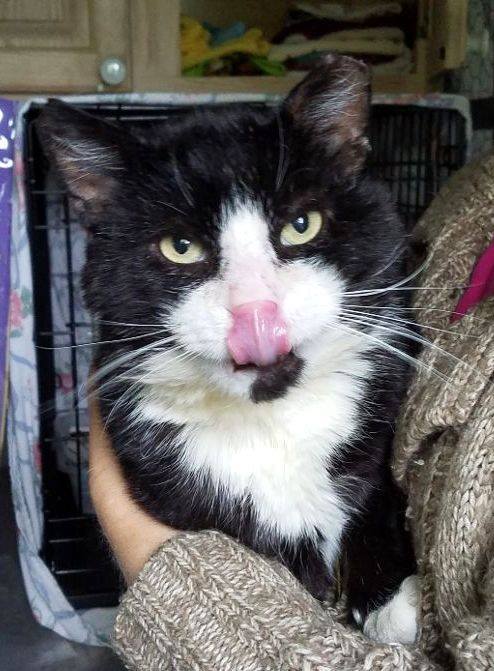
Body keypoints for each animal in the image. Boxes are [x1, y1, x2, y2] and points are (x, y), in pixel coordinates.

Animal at [36, 55, 418, 644]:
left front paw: (390, 599)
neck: (274, 421)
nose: (255, 312)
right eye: (181, 247)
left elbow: (378, 479)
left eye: (301, 224)